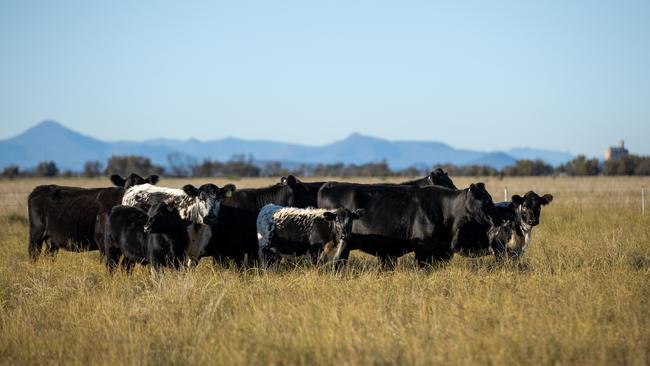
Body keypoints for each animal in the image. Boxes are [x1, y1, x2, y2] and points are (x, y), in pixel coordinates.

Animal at [27, 173, 159, 258]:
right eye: (127, 188)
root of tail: (38, 188)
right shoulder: (103, 242)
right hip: (36, 234)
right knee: (33, 254)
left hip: (52, 240)